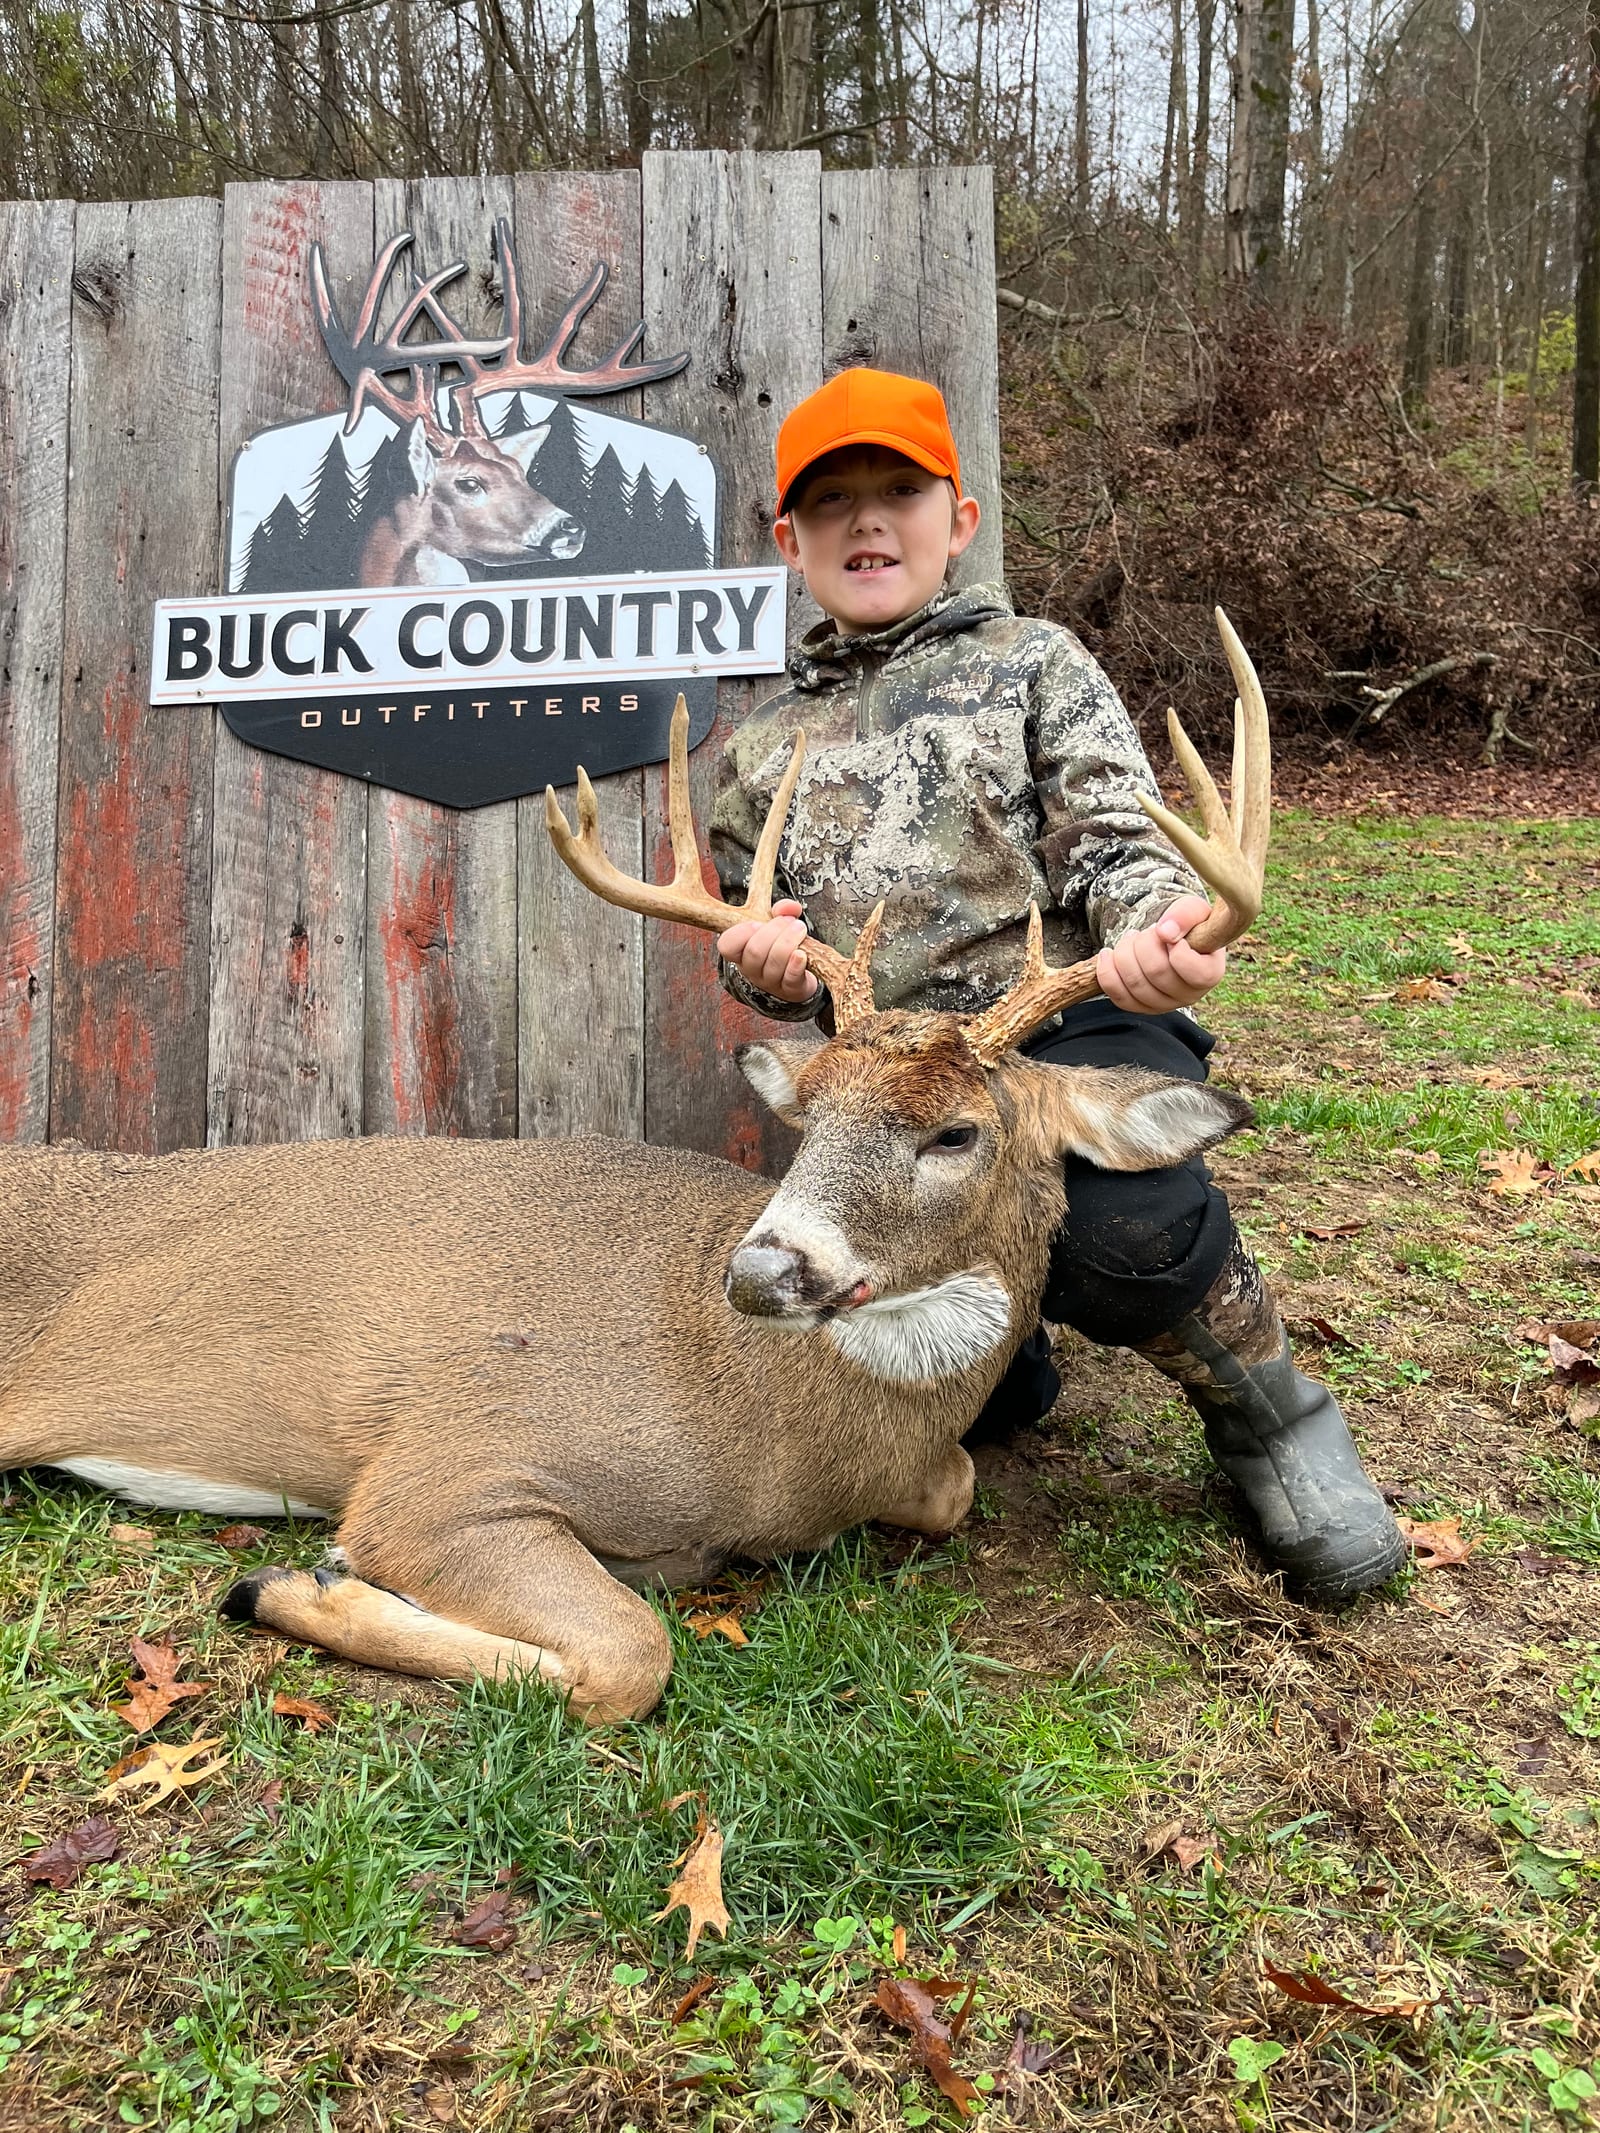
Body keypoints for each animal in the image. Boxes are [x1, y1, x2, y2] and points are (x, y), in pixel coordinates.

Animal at [0, 615, 1268, 1725]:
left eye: (956, 1133)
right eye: (810, 1114)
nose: (760, 1272)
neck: (774, 1434)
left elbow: (953, 1488)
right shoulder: (447, 1463)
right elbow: (628, 1654)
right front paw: (293, 1584)